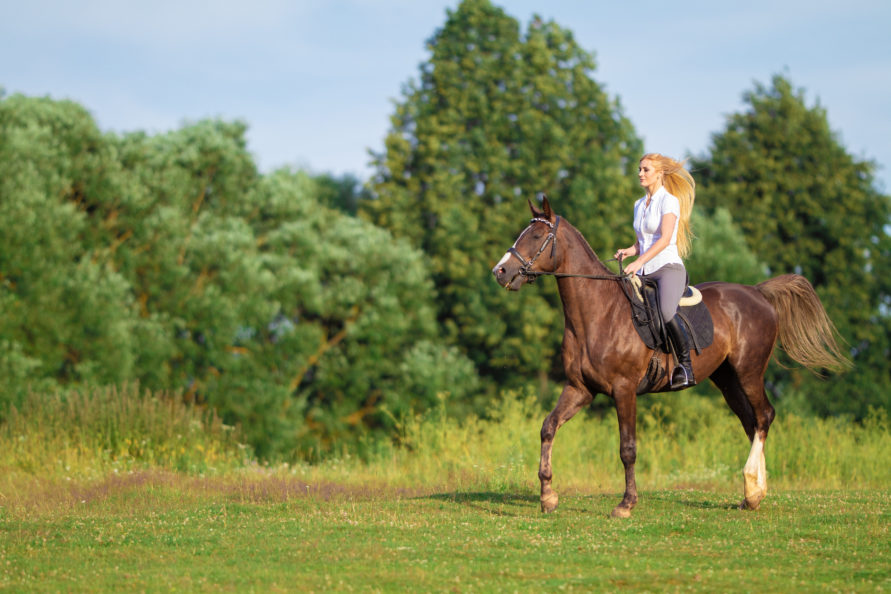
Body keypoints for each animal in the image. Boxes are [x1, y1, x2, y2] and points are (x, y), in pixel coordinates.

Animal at [494, 197, 852, 516]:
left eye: (536, 237)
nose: (500, 271)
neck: (597, 312)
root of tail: (758, 293)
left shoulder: (624, 390)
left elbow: (627, 449)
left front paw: (626, 504)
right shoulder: (580, 389)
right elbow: (548, 427)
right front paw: (548, 497)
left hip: (749, 372)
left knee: (764, 417)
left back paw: (752, 488)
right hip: (727, 380)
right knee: (751, 422)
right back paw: (752, 495)